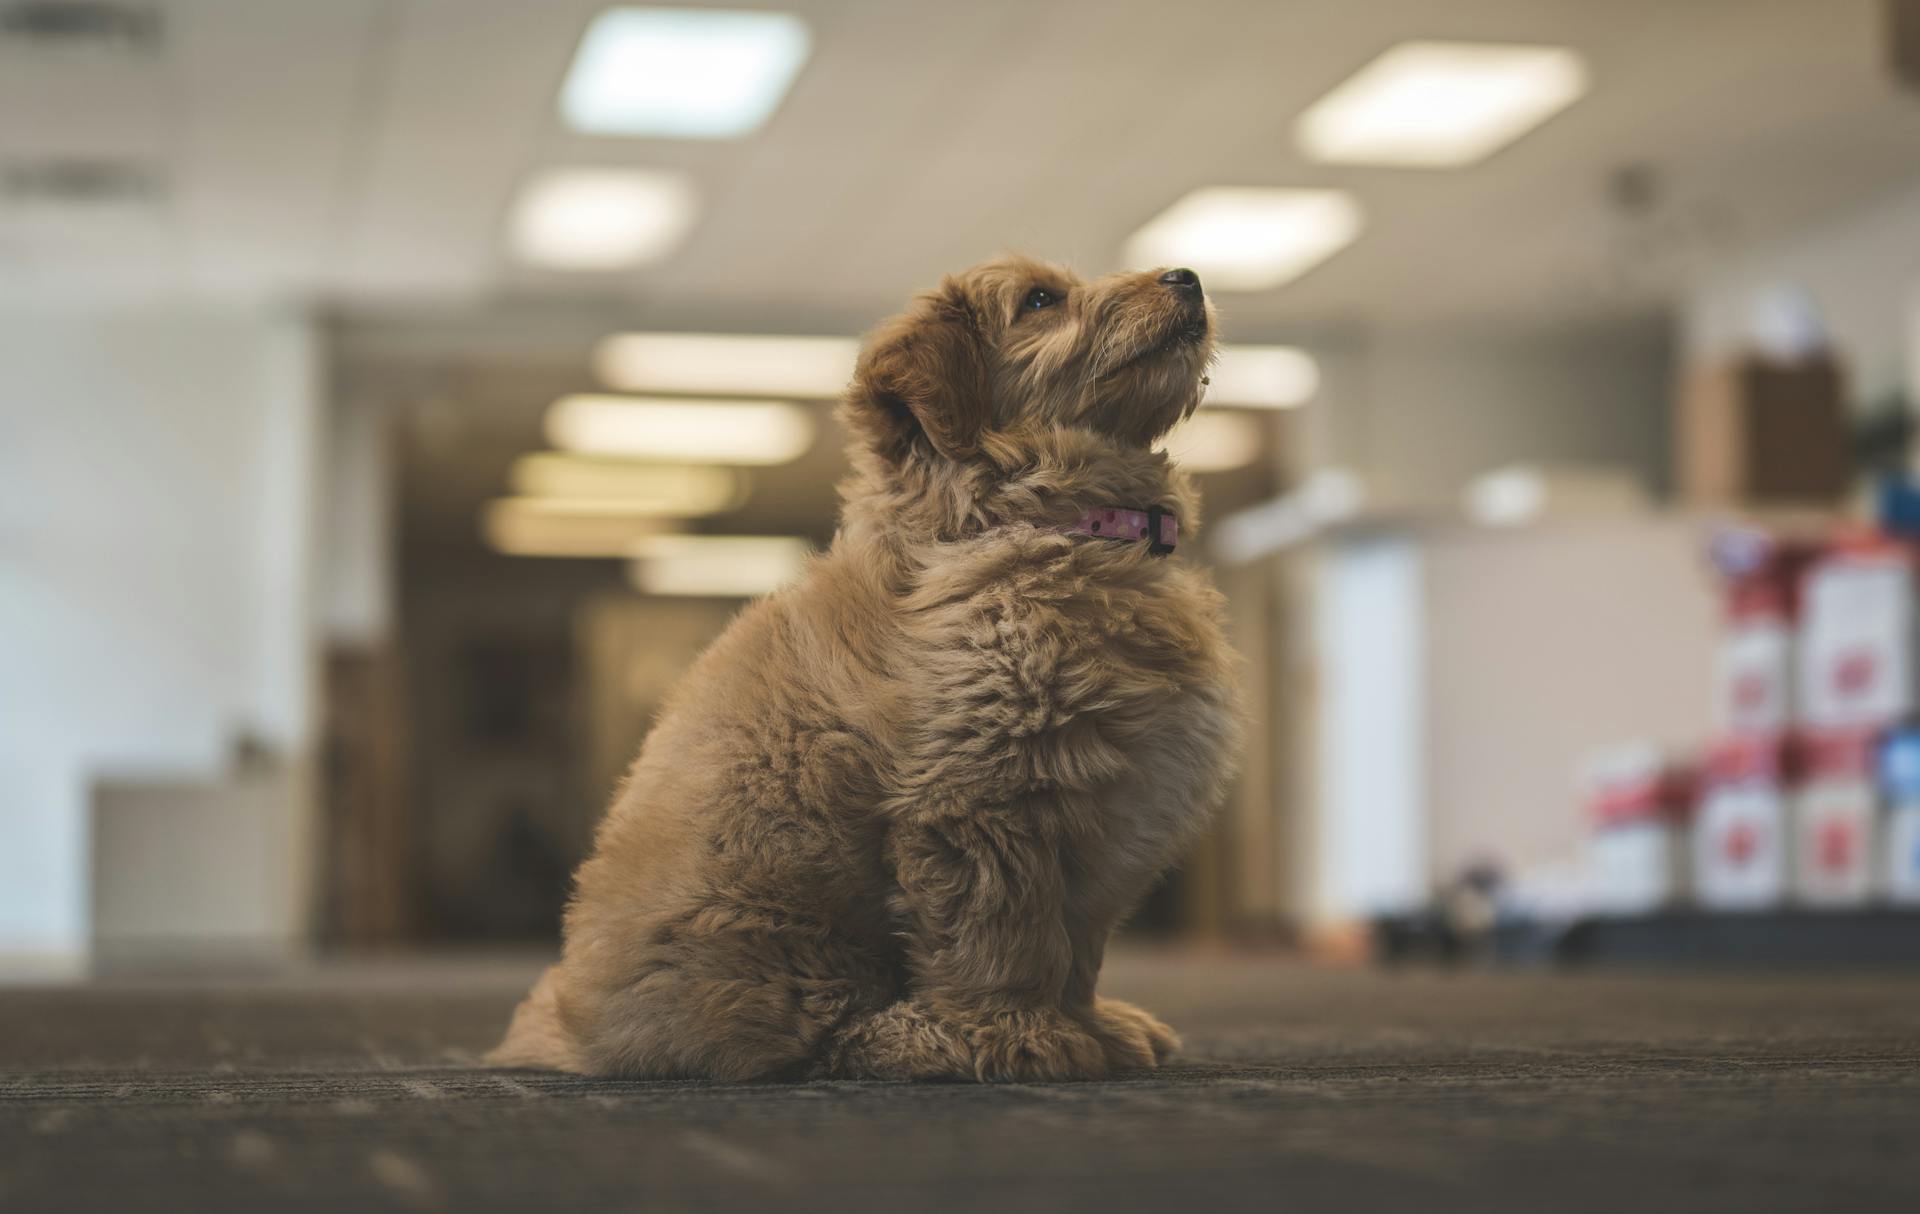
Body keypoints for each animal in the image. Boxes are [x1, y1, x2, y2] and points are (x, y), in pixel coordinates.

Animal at [491, 253, 1244, 1083]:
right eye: (1042, 300)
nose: (1187, 276)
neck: (1027, 520)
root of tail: (569, 1029)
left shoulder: (1101, 818)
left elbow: (1078, 943)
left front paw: (1091, 1022)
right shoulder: (980, 795)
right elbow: (1002, 934)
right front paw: (1020, 1035)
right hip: (784, 936)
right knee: (818, 1034)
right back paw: (920, 1038)